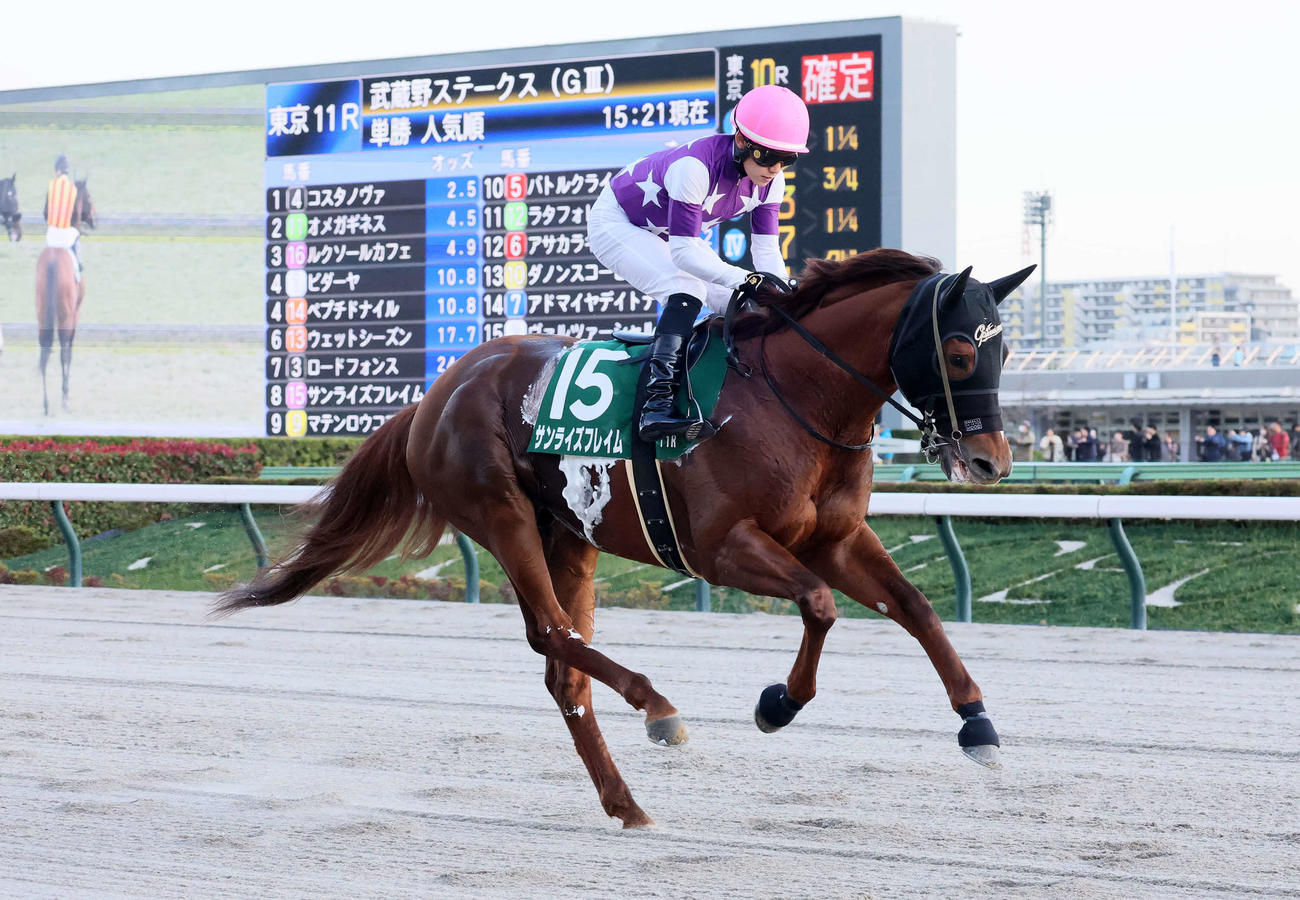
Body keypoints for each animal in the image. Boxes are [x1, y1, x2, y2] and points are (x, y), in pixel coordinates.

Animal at [215, 248, 1035, 828]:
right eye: (960, 352)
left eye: (1003, 353)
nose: (992, 461)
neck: (795, 398)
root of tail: (435, 392)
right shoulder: (720, 548)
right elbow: (820, 604)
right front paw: (778, 704)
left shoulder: (835, 538)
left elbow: (917, 609)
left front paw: (979, 725)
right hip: (502, 514)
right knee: (553, 633)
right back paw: (658, 707)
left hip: (571, 532)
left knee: (562, 667)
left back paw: (626, 804)